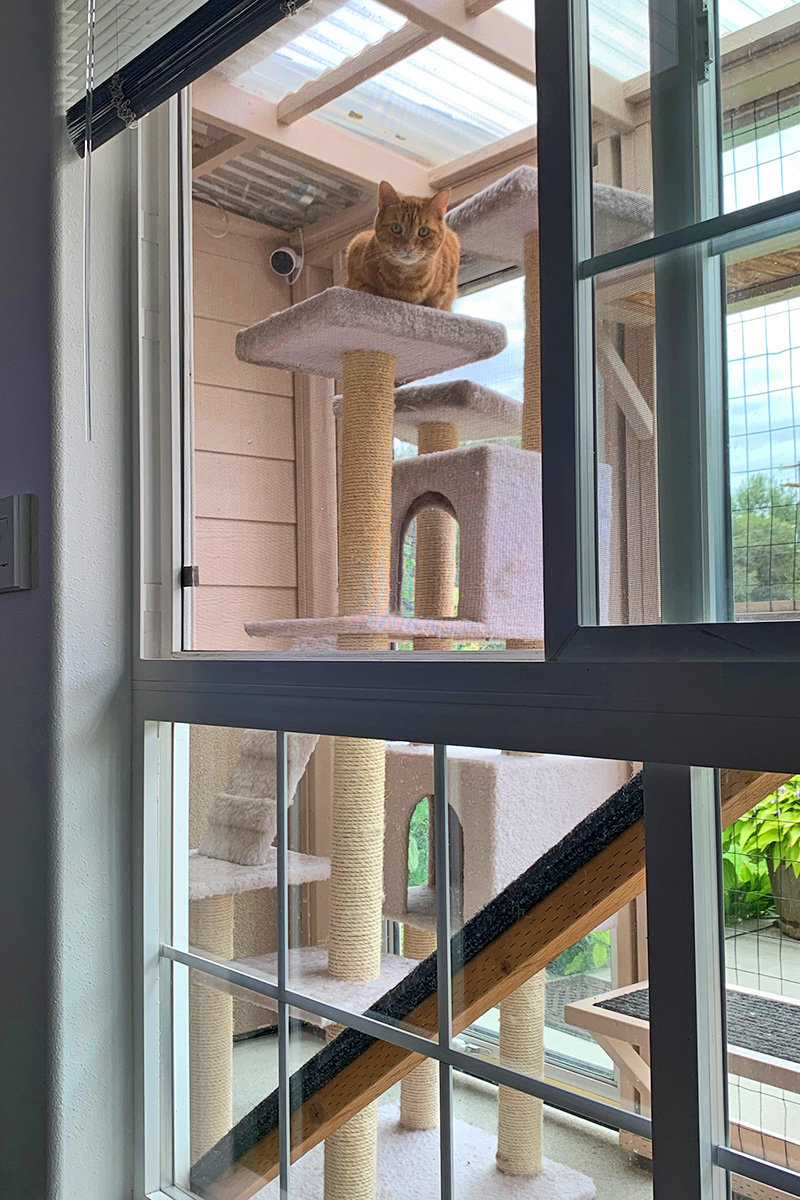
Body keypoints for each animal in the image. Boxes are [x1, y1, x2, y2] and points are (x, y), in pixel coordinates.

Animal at [345, 180, 462, 309]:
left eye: (424, 231)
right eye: (396, 228)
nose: (408, 248)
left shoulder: (444, 288)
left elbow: (433, 303)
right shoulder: (356, 273)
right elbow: (370, 290)